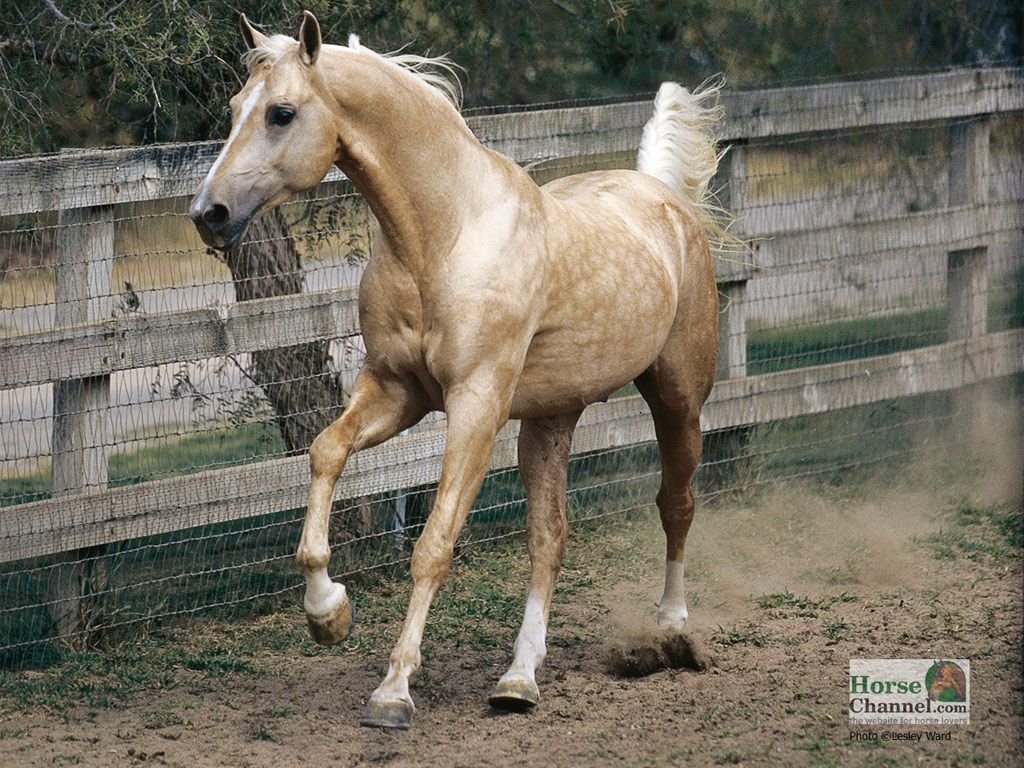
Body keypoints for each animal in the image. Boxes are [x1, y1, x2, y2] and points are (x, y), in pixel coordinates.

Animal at [190, 11, 726, 730]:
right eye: (232, 107)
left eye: (281, 112)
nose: (208, 214)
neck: (441, 236)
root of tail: (666, 198)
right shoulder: (395, 392)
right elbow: (326, 451)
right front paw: (328, 614)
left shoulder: (476, 405)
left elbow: (434, 545)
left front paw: (393, 690)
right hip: (552, 419)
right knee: (549, 538)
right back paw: (519, 679)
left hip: (677, 398)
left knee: (676, 504)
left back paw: (669, 630)